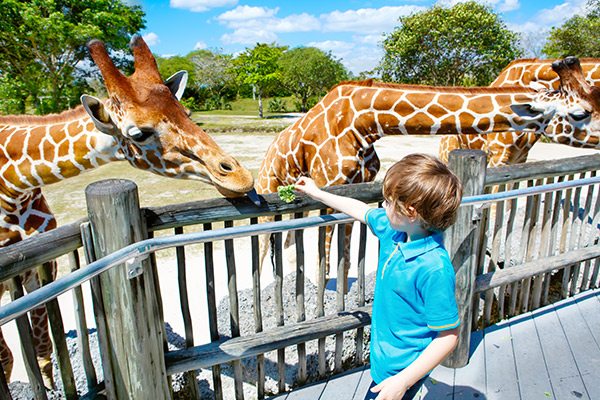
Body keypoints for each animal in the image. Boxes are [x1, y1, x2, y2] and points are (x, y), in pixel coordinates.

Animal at [0, 36, 255, 386]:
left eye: (187, 112)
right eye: (139, 133)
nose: (240, 177)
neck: (15, 185)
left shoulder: (40, 267)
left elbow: (42, 351)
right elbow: (11, 357)